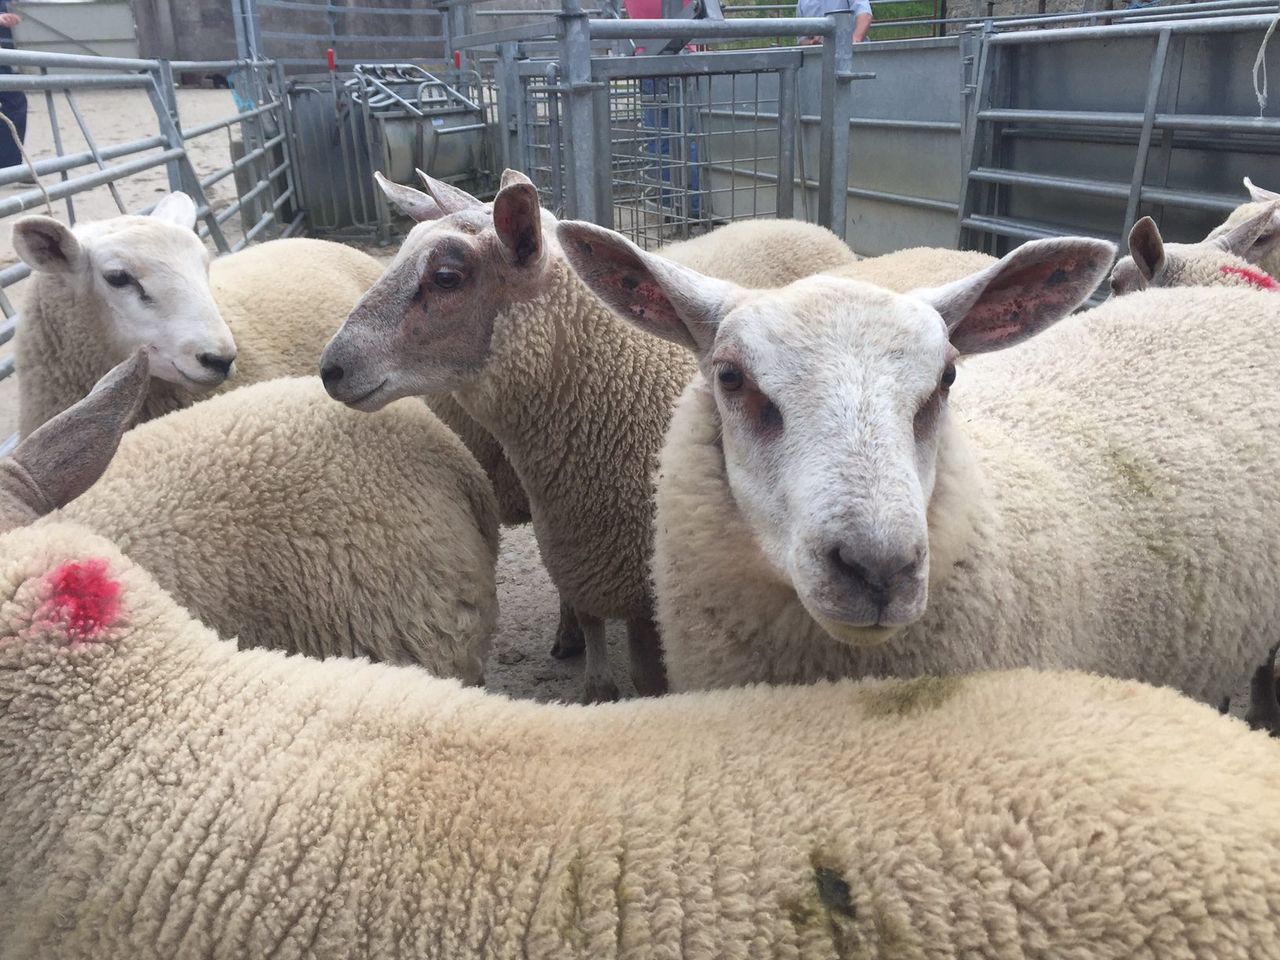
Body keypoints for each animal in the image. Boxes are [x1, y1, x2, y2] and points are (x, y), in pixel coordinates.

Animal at [342, 170, 857, 702]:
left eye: (446, 277)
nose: (332, 366)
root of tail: (805, 224)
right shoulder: (580, 550)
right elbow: (590, 627)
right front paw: (593, 679)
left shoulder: (642, 587)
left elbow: (647, 677)